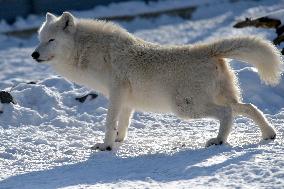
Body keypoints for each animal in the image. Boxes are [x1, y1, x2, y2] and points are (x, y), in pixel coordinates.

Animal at [32, 11, 282, 151]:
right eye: (40, 39)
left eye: (52, 40)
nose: (34, 55)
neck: (87, 50)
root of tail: (207, 50)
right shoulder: (126, 100)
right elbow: (122, 124)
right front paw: (118, 141)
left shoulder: (116, 92)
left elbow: (109, 122)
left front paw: (106, 146)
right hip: (214, 100)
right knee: (248, 107)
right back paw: (268, 134)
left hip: (185, 108)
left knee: (228, 113)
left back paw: (219, 140)